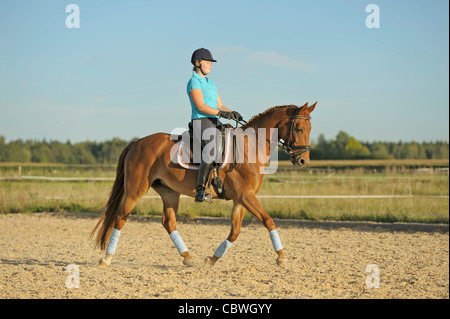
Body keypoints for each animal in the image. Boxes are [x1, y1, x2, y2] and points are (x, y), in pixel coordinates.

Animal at [91, 102, 316, 268]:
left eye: (310, 129)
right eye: (298, 128)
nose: (302, 161)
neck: (250, 147)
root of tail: (136, 143)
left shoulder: (241, 199)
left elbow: (235, 232)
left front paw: (212, 259)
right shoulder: (246, 196)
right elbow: (268, 221)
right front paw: (281, 257)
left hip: (169, 192)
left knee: (168, 222)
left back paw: (188, 258)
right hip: (135, 190)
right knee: (120, 218)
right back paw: (106, 259)